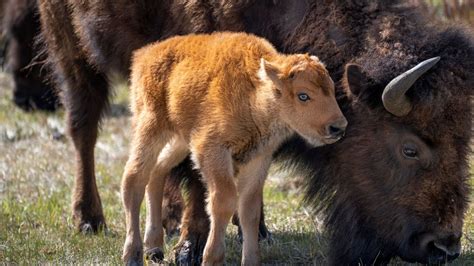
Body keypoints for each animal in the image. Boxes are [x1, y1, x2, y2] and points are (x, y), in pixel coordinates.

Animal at [120, 32, 346, 264]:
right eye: (303, 95)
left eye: (331, 89)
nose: (338, 127)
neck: (254, 92)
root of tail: (145, 54)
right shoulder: (213, 151)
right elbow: (224, 200)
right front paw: (212, 258)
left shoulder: (258, 159)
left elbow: (250, 209)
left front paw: (251, 260)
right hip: (150, 126)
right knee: (134, 179)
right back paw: (132, 255)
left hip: (180, 140)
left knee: (157, 172)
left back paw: (154, 248)